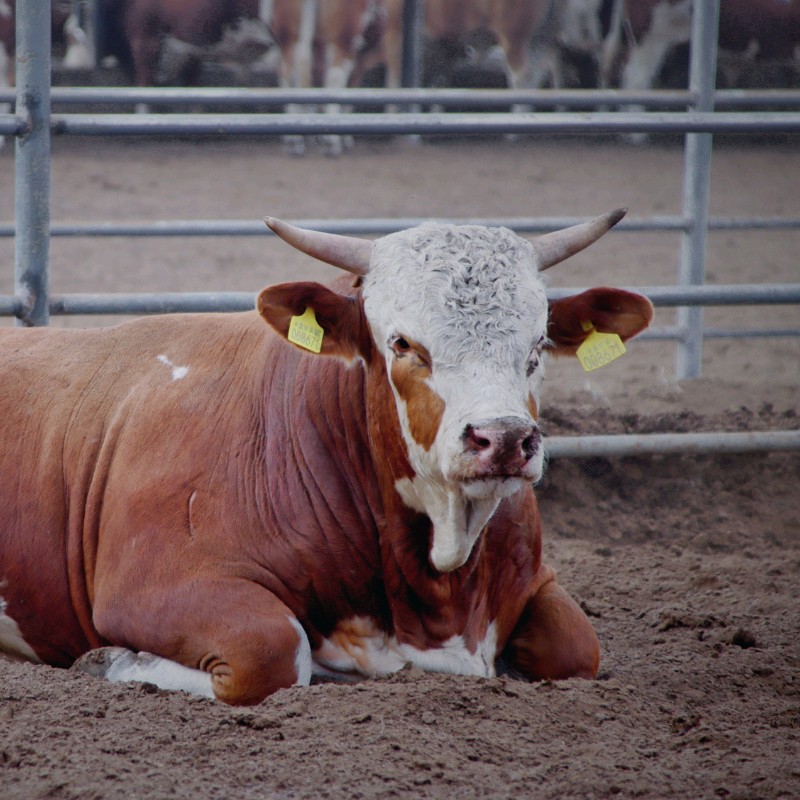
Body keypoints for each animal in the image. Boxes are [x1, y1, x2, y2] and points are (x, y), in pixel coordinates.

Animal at [0, 212, 648, 708]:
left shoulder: (534, 578)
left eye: (538, 345)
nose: (505, 438)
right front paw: (107, 659)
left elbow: (578, 647)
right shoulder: (151, 586)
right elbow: (275, 652)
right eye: (402, 343)